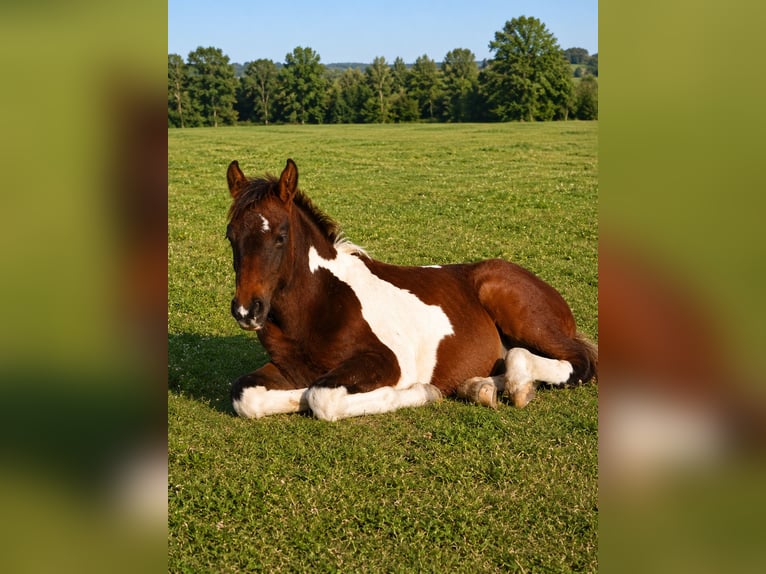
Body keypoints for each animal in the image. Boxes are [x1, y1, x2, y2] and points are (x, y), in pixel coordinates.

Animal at [226, 158, 597, 421]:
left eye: (280, 236)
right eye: (230, 236)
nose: (247, 311)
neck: (320, 302)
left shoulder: (387, 361)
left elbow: (322, 396)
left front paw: (424, 392)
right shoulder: (287, 368)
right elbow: (246, 395)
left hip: (520, 314)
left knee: (578, 362)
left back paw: (517, 386)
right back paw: (480, 387)